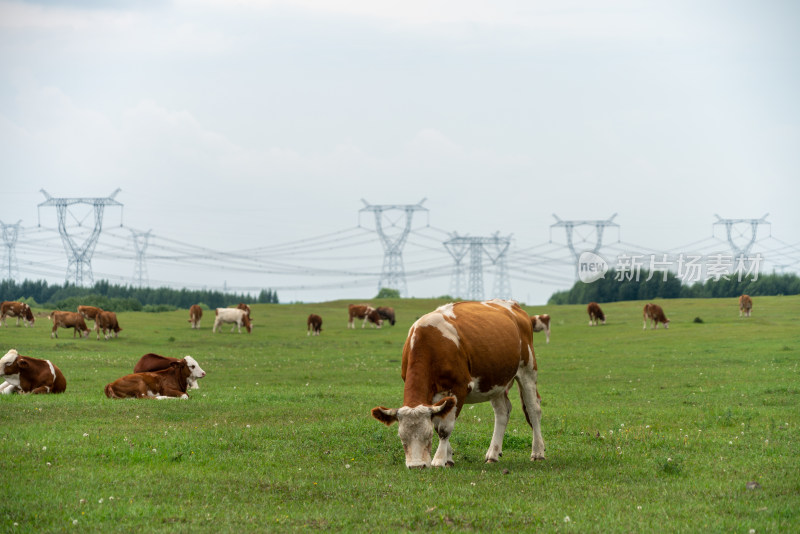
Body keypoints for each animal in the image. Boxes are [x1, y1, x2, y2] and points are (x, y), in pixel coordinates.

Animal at [372, 300, 548, 472]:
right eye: (402, 438)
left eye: (427, 436)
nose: (416, 466)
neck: (429, 342)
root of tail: (514, 306)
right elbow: (439, 424)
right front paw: (448, 458)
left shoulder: (459, 388)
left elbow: (444, 429)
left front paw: (439, 460)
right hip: (495, 381)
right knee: (502, 412)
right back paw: (493, 454)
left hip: (528, 370)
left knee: (533, 409)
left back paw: (538, 452)